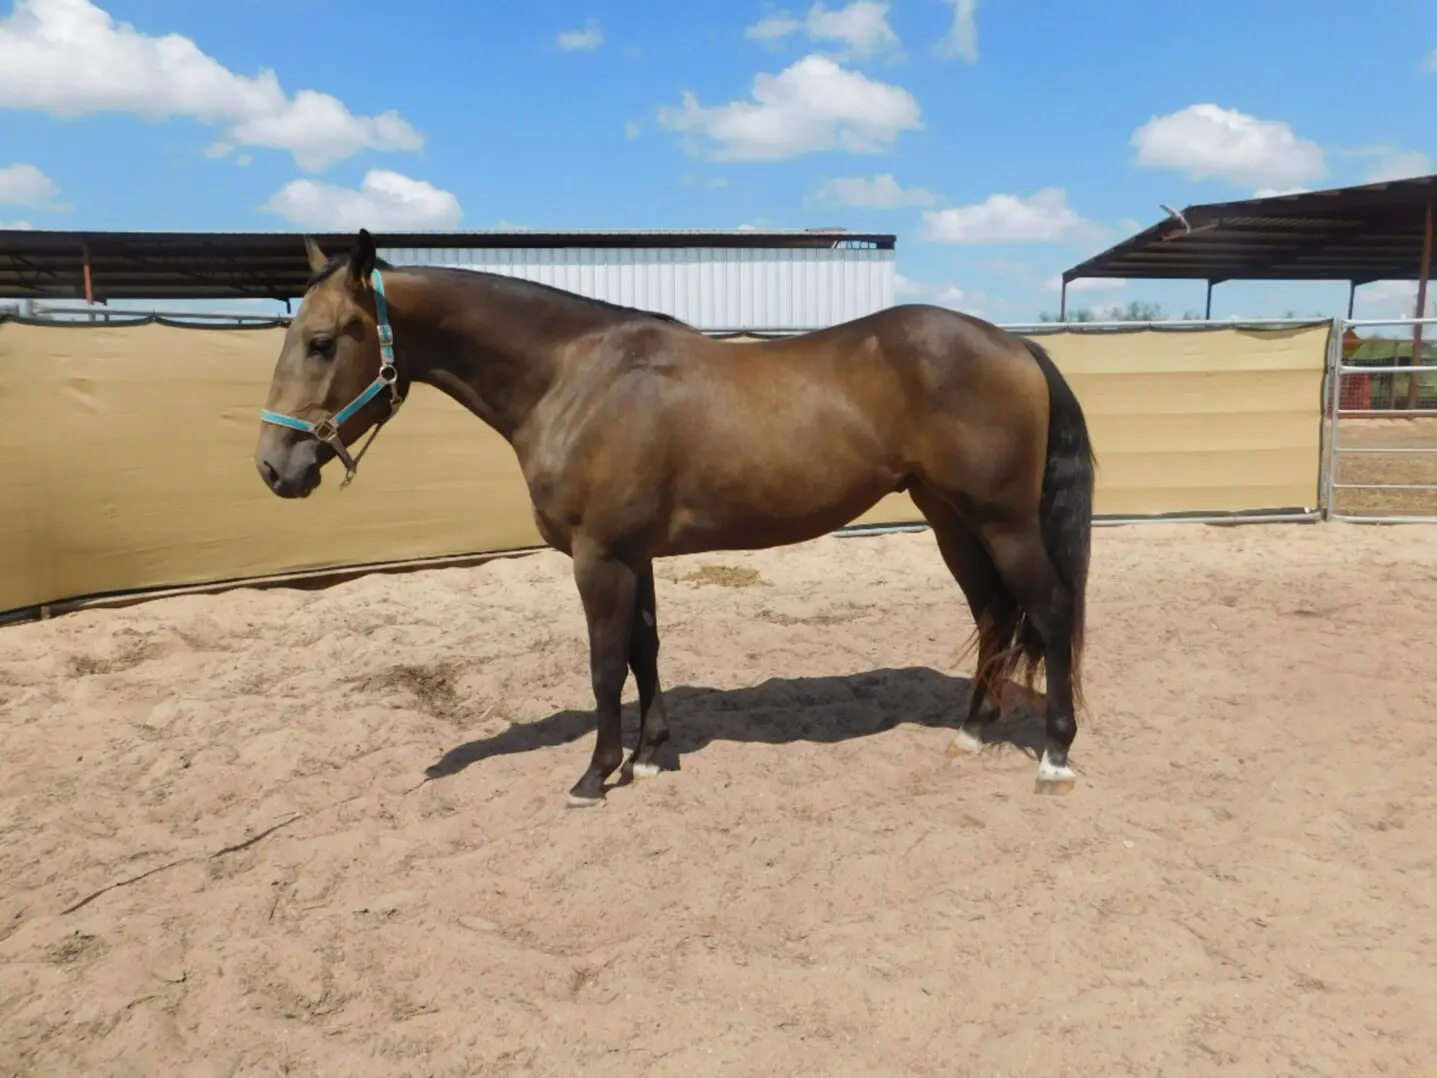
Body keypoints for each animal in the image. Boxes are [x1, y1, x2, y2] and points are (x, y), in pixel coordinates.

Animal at [254, 229, 1097, 807]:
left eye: (322, 342)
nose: (273, 468)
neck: (576, 377)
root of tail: (1013, 345)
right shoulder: (633, 555)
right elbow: (645, 652)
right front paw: (652, 755)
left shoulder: (598, 556)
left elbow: (604, 665)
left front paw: (594, 776)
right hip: (950, 518)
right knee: (993, 614)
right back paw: (973, 732)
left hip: (1001, 522)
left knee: (1050, 610)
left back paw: (1055, 754)